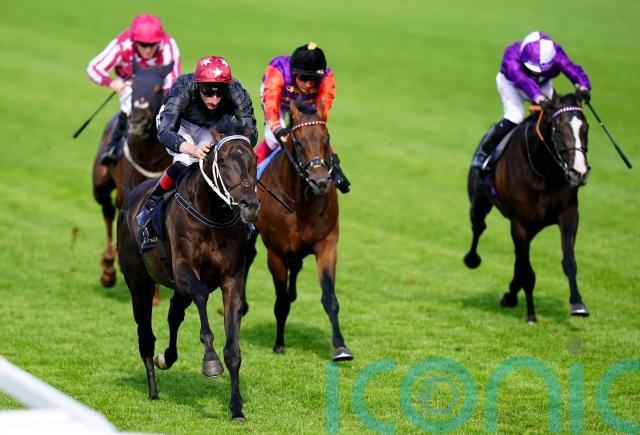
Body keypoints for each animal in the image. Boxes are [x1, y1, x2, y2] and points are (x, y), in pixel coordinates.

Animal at [92, 60, 174, 288]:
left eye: (159, 89)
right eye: (134, 85)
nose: (137, 120)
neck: (148, 157)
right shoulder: (126, 194)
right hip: (100, 185)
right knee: (107, 210)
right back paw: (108, 269)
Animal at [116, 124, 259, 421]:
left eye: (254, 161)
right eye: (223, 163)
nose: (250, 205)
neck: (213, 216)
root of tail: (130, 199)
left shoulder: (232, 280)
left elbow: (233, 349)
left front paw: (236, 408)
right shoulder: (184, 272)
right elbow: (202, 296)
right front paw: (210, 361)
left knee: (174, 315)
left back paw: (166, 358)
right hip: (139, 284)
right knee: (145, 334)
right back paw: (153, 389)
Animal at [245, 101, 353, 361]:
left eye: (326, 139)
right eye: (299, 142)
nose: (320, 182)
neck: (299, 200)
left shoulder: (327, 244)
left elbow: (329, 297)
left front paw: (340, 347)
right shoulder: (276, 253)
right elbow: (281, 301)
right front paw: (279, 344)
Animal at [464, 92, 591, 323]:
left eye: (585, 127)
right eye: (558, 129)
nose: (579, 172)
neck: (544, 171)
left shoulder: (568, 214)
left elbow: (569, 260)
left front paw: (578, 304)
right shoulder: (519, 223)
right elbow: (528, 272)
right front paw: (531, 315)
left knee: (519, 257)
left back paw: (511, 293)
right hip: (480, 202)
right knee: (479, 226)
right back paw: (472, 260)